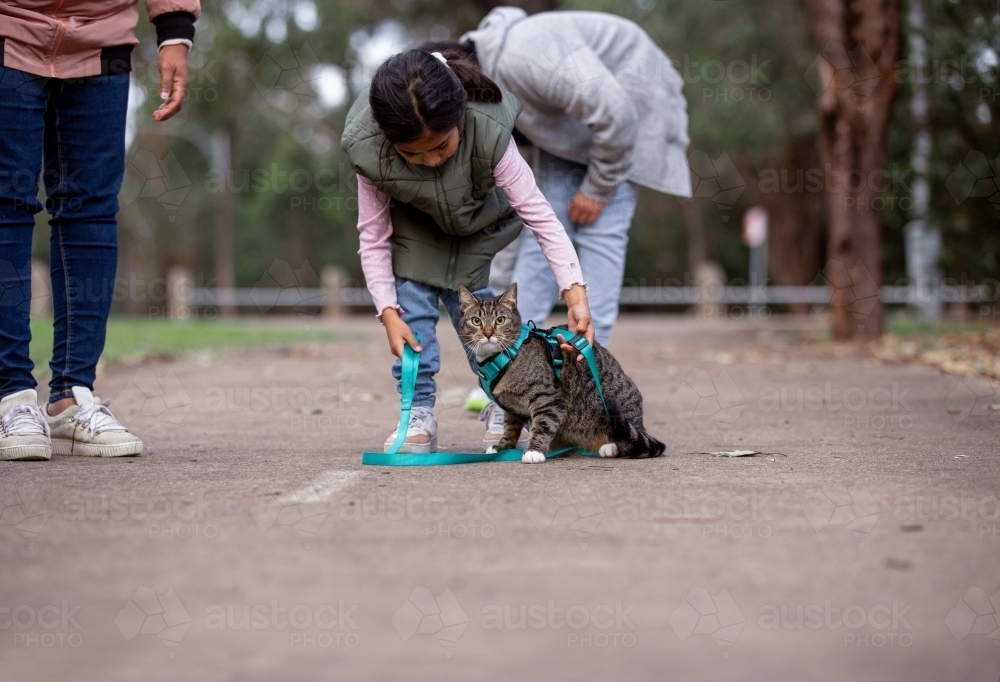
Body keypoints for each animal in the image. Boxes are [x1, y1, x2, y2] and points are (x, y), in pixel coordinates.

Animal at [458, 282, 664, 462]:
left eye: (500, 320)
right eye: (476, 321)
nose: (488, 333)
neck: (500, 357)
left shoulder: (549, 397)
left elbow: (543, 424)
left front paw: (534, 451)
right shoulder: (512, 408)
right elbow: (510, 428)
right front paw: (503, 448)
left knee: (628, 436)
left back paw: (610, 446)